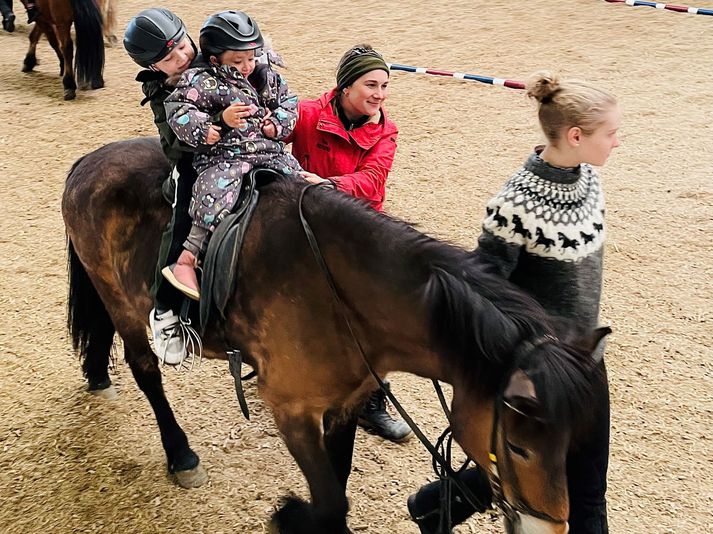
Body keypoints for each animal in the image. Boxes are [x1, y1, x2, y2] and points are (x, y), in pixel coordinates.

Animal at [62, 136, 608, 532]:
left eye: (570, 443)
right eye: (519, 448)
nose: (551, 528)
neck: (338, 293)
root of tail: (91, 159)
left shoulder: (346, 399)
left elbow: (339, 484)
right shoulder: (292, 409)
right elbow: (328, 504)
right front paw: (289, 515)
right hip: (120, 299)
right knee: (145, 370)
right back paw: (179, 452)